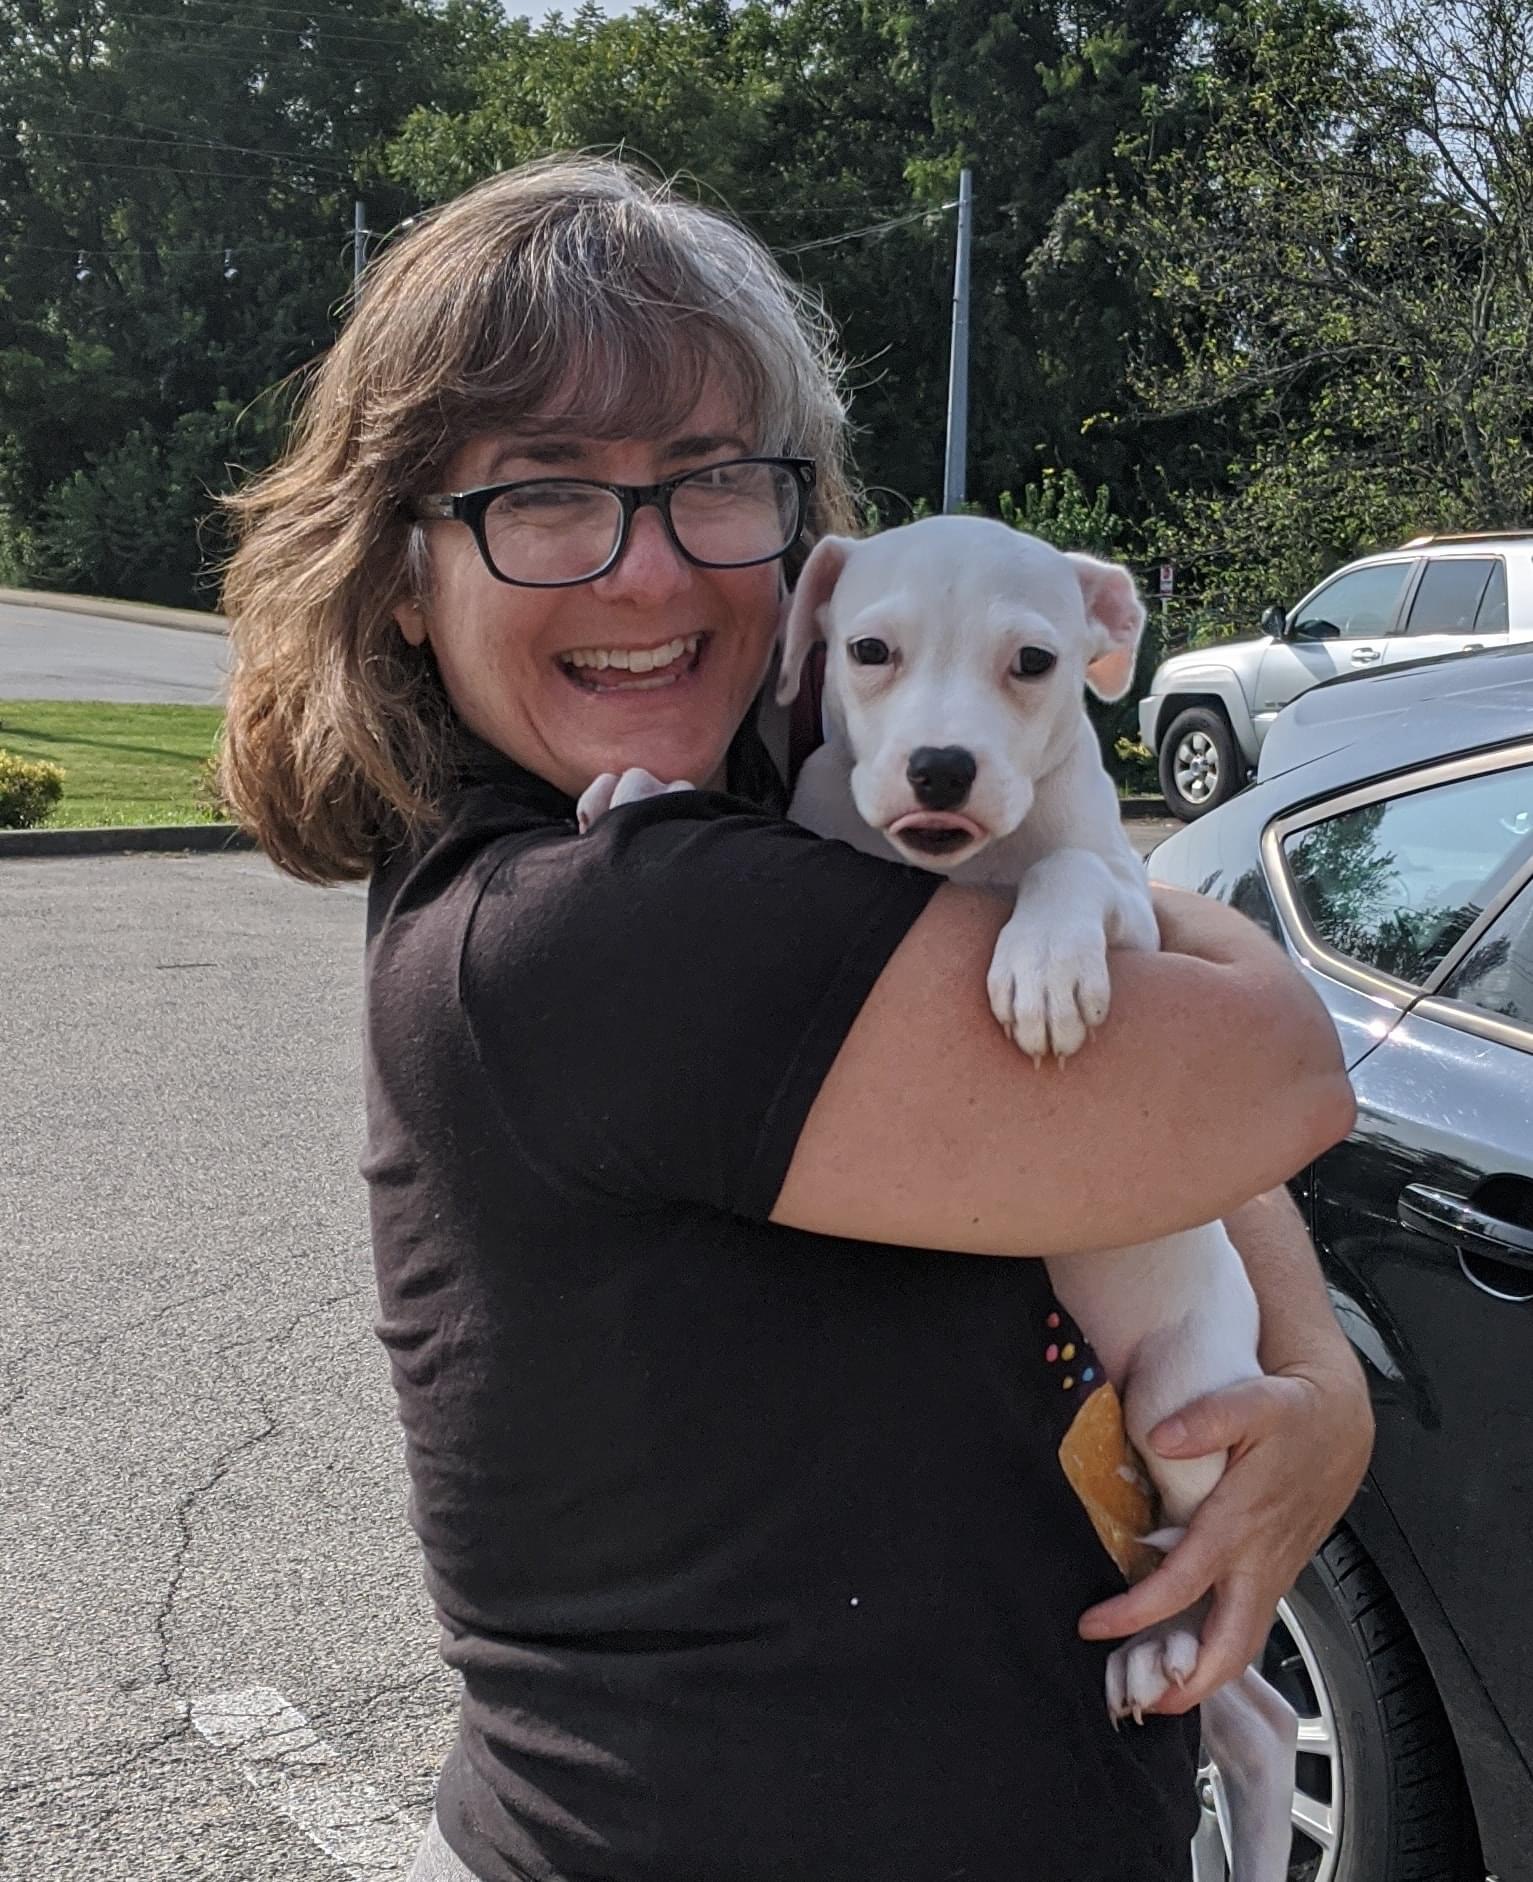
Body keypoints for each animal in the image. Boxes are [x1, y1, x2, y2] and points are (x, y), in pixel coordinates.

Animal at [583, 508, 1301, 1874]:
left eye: (1034, 663)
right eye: (869, 650)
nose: (940, 766)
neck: (959, 868)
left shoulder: (1142, 915)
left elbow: (1075, 878)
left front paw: (1044, 966)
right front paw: (644, 786)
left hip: (1189, 1404)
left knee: (1241, 1657)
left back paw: (1161, 1652)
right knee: (1244, 1707)